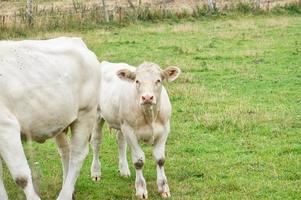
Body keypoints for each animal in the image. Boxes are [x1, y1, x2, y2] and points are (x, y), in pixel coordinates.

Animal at [0, 36, 101, 199]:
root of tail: (75, 40)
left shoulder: (6, 127)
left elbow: (21, 177)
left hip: (86, 113)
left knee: (78, 154)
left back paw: (65, 195)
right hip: (60, 120)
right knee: (66, 151)